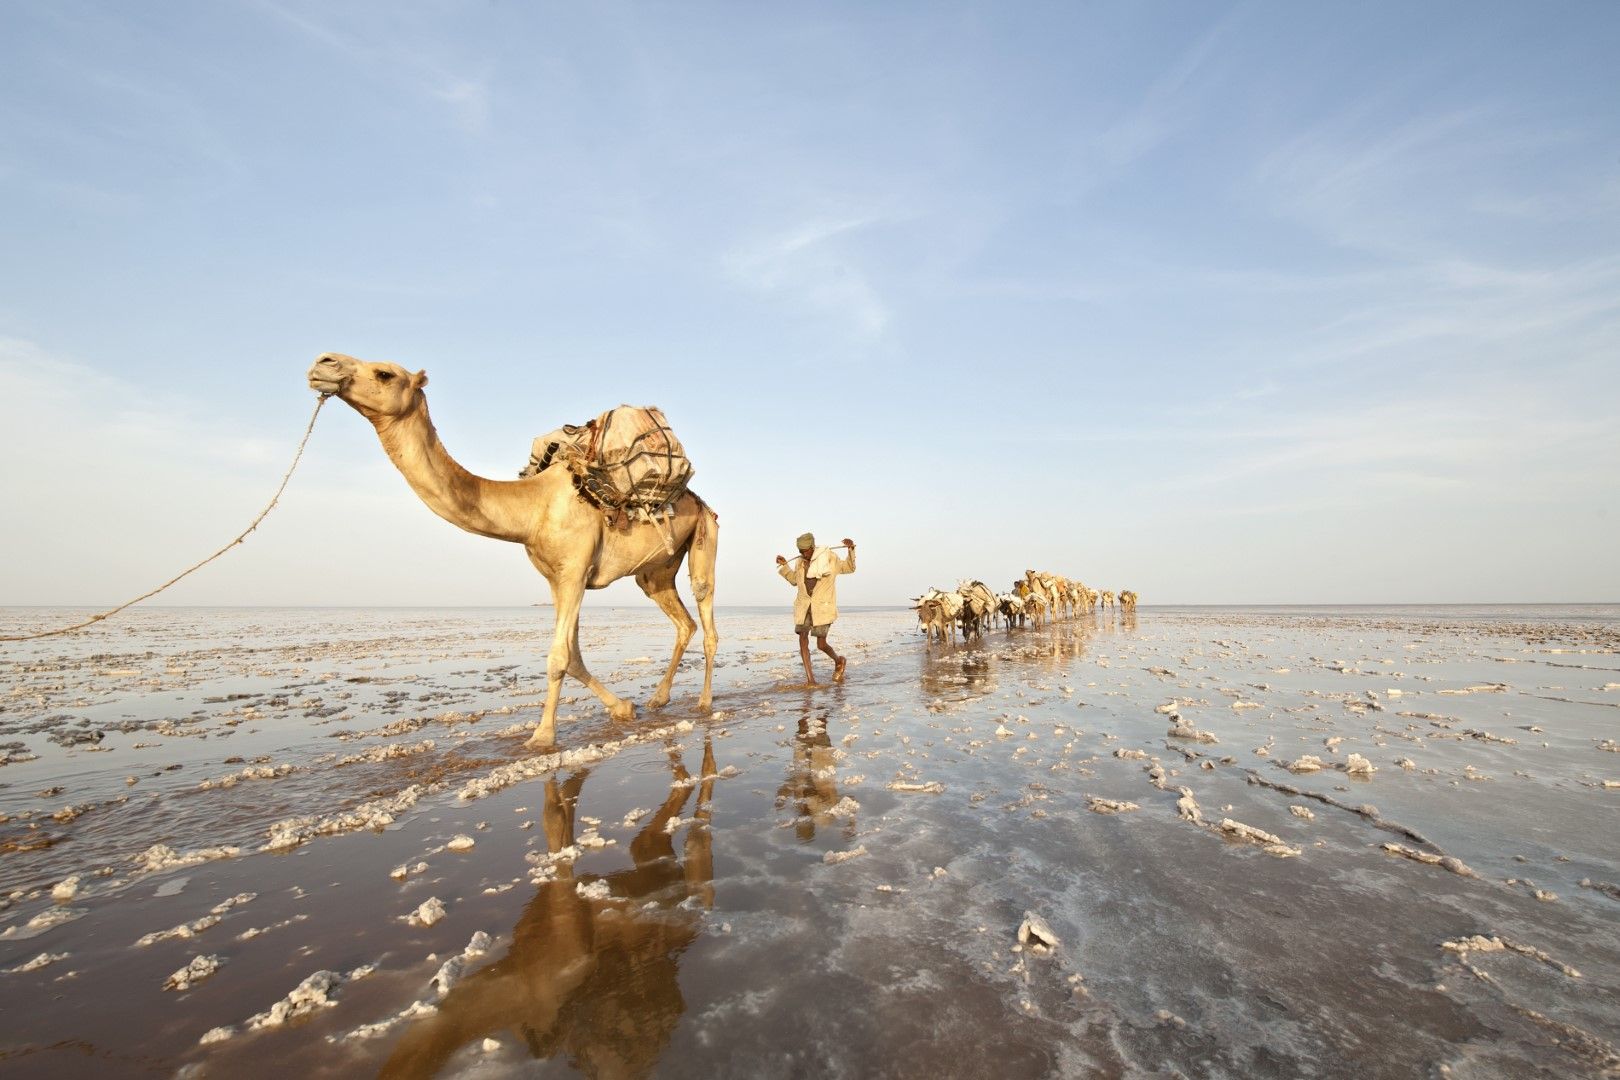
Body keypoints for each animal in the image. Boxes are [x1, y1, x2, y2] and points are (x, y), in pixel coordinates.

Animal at [309, 351, 716, 748]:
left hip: (705, 535)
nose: (323, 363)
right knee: (682, 621)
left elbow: (559, 656)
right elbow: (574, 655)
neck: (532, 507)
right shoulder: (558, 578)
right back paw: (658, 698)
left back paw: (704, 702)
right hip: (655, 572)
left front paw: (542, 736)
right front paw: (624, 708)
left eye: (384, 374)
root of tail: (698, 501)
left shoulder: (574, 572)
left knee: (705, 611)